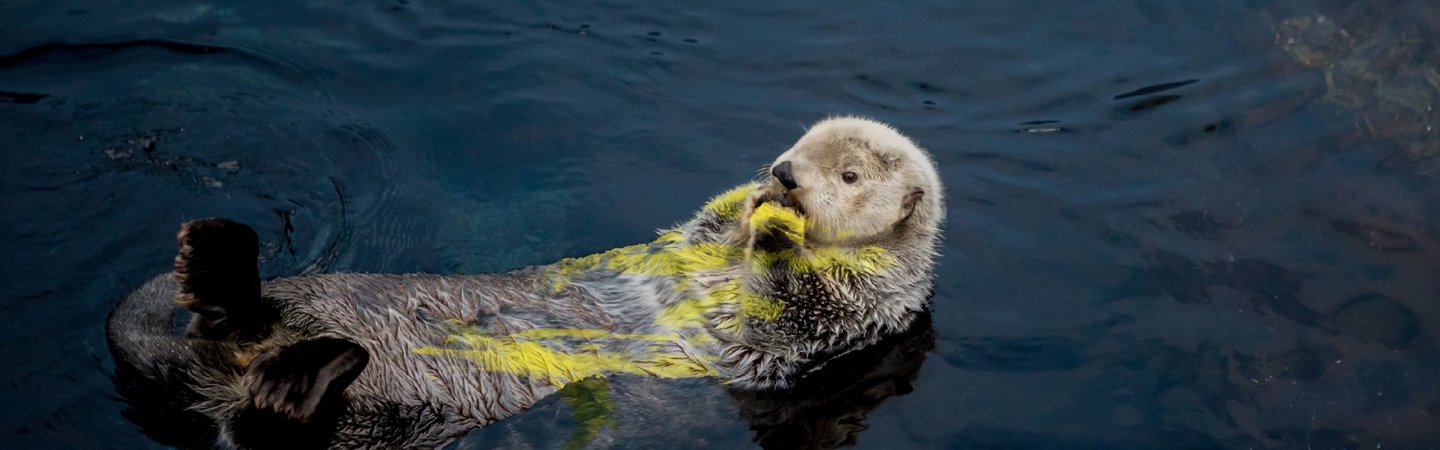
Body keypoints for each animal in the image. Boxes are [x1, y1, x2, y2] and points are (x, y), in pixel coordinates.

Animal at [106, 116, 945, 448]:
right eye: (797, 145)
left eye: (848, 174)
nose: (785, 174)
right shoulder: (698, 243)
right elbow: (701, 228)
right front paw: (750, 203)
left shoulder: (849, 323)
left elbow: (784, 314)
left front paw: (777, 234)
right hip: (317, 297)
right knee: (238, 324)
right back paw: (215, 263)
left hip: (376, 417)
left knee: (272, 423)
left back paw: (301, 374)